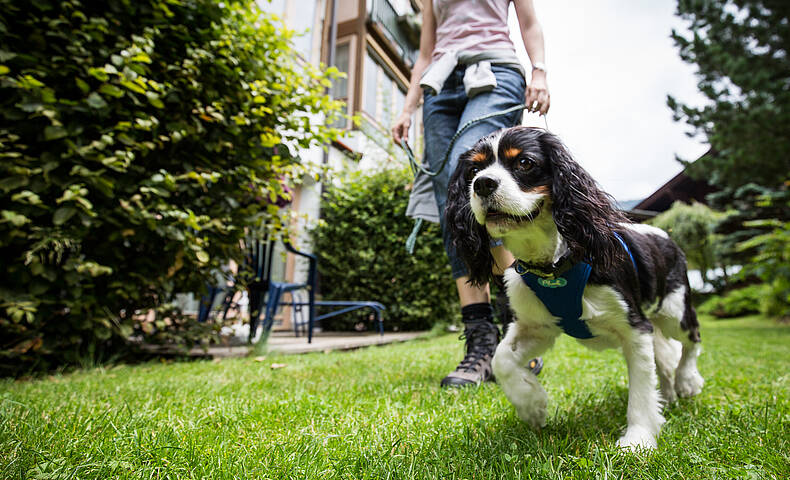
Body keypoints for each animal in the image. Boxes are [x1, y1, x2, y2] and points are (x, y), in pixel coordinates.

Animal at [446, 126, 704, 450]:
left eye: (525, 163)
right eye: (473, 170)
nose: (482, 184)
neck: (553, 265)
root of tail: (665, 234)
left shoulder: (635, 327)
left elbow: (641, 389)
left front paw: (638, 440)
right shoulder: (537, 327)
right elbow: (502, 358)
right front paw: (532, 403)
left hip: (674, 310)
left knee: (691, 339)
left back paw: (687, 380)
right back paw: (669, 395)